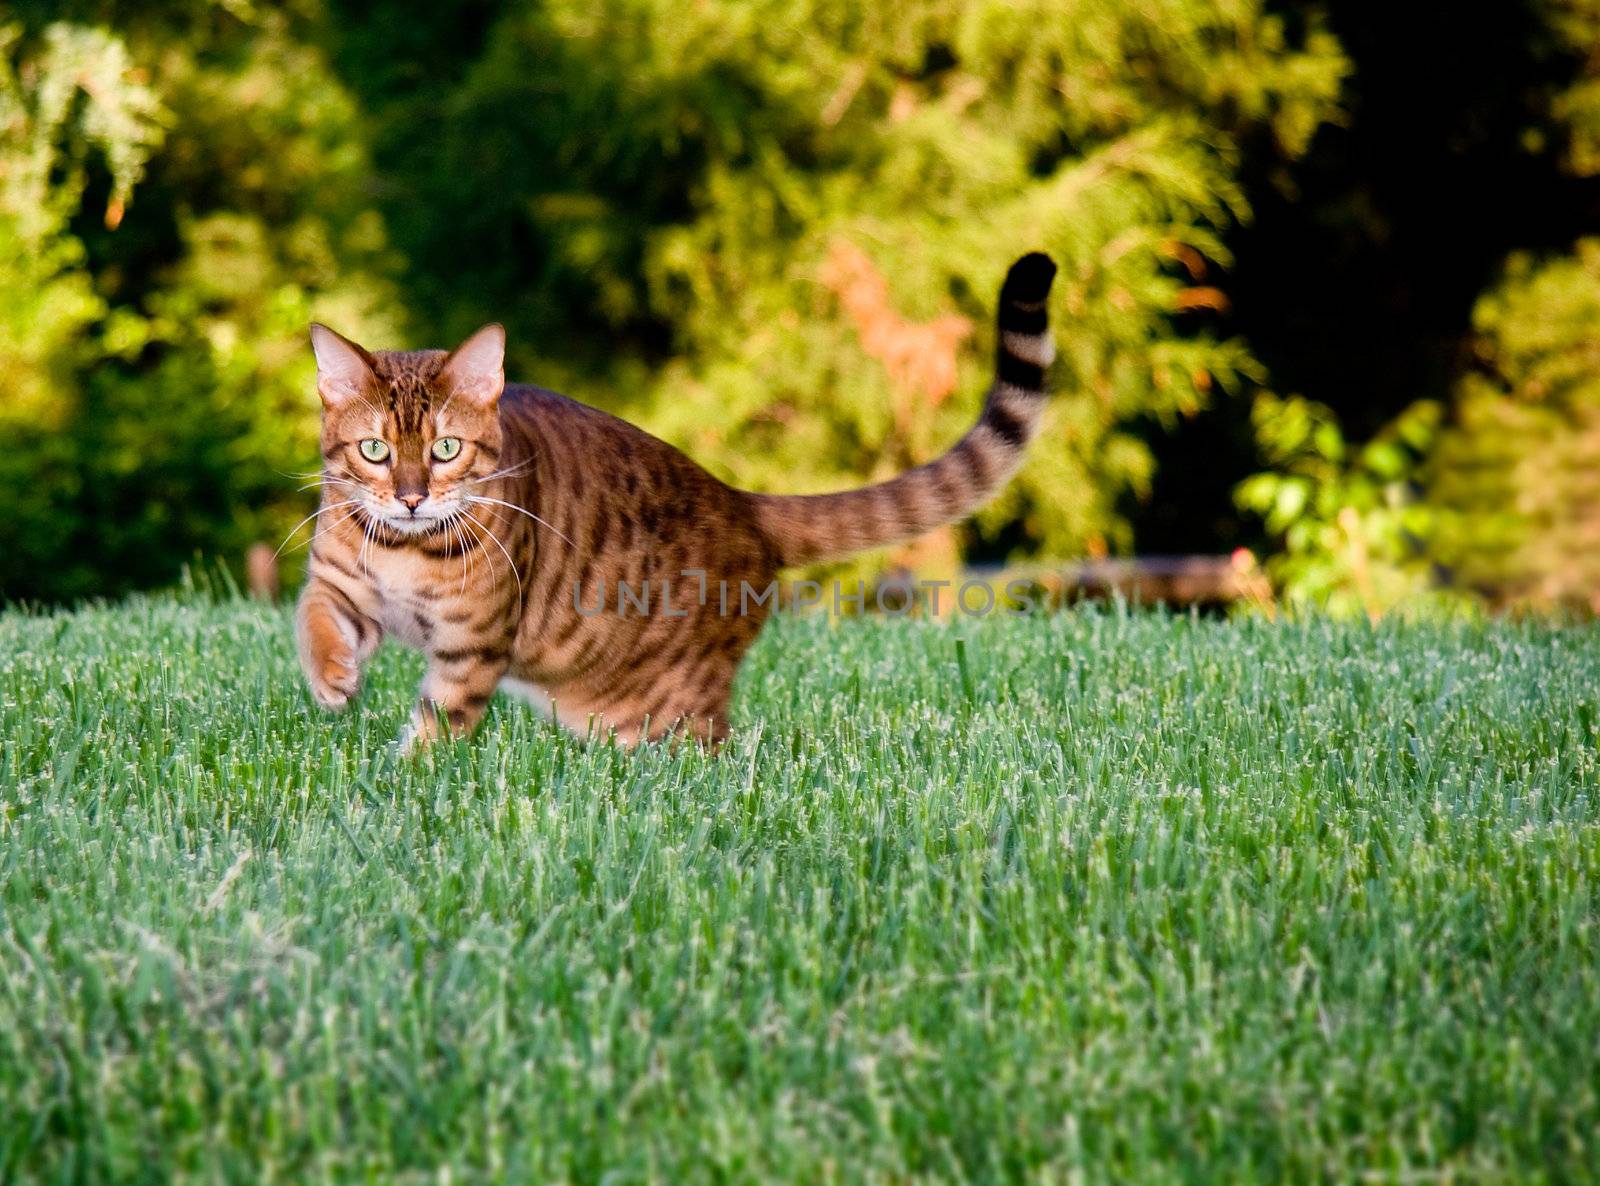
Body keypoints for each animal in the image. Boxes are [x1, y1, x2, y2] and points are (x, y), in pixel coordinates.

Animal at [297, 252, 1062, 749]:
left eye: (447, 449)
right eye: (375, 450)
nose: (411, 498)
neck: (403, 551)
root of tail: (743, 502)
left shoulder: (472, 644)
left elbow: (440, 725)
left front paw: (407, 773)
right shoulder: (342, 582)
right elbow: (314, 618)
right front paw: (333, 682)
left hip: (664, 710)